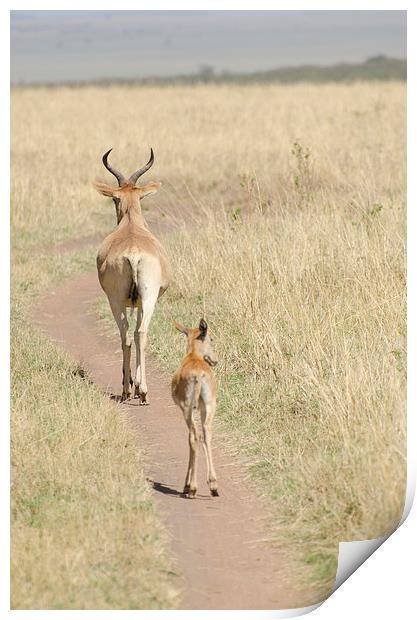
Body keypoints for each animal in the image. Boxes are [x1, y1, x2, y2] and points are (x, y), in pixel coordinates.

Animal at [93, 148, 169, 404]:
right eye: (116, 198)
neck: (131, 224)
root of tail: (134, 252)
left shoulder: (134, 302)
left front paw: (133, 384)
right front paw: (135, 385)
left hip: (120, 300)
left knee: (130, 334)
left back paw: (131, 389)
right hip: (144, 298)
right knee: (138, 333)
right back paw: (139, 390)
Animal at [171, 320, 219, 498]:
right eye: (211, 339)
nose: (215, 360)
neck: (193, 357)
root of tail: (198, 374)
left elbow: (189, 439)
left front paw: (187, 485)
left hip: (188, 410)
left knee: (194, 436)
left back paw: (192, 487)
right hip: (209, 406)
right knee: (206, 433)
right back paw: (213, 485)